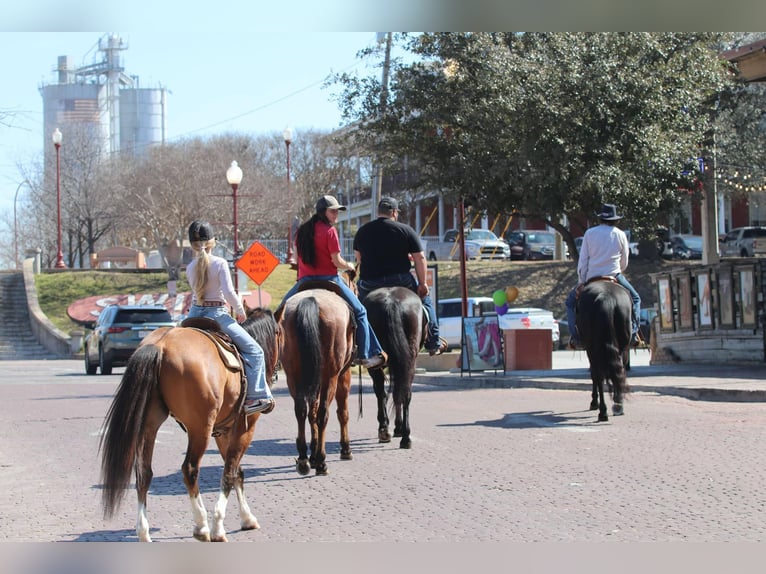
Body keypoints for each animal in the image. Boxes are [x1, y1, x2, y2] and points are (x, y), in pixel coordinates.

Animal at [99, 308, 282, 544]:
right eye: (280, 333)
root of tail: (160, 345)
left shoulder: (222, 432)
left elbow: (236, 471)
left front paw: (246, 518)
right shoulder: (245, 427)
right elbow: (230, 472)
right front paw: (219, 527)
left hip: (150, 425)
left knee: (144, 473)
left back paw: (143, 532)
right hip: (200, 429)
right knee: (190, 469)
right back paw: (202, 526)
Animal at [280, 274, 356, 476]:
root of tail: (310, 300)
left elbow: (311, 412)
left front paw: (312, 453)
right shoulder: (343, 375)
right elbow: (342, 412)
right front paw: (345, 449)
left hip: (293, 375)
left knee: (301, 410)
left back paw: (303, 459)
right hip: (331, 375)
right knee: (324, 413)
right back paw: (322, 461)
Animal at [364, 286, 428, 450]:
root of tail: (391, 302)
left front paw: (387, 425)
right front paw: (397, 427)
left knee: (383, 391)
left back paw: (386, 430)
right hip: (409, 359)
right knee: (405, 392)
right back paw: (405, 436)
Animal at [580, 280, 632, 424]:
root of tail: (606, 297)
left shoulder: (590, 350)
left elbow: (594, 375)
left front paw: (594, 402)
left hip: (593, 349)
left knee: (599, 376)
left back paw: (602, 411)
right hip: (623, 346)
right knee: (619, 372)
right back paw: (618, 406)